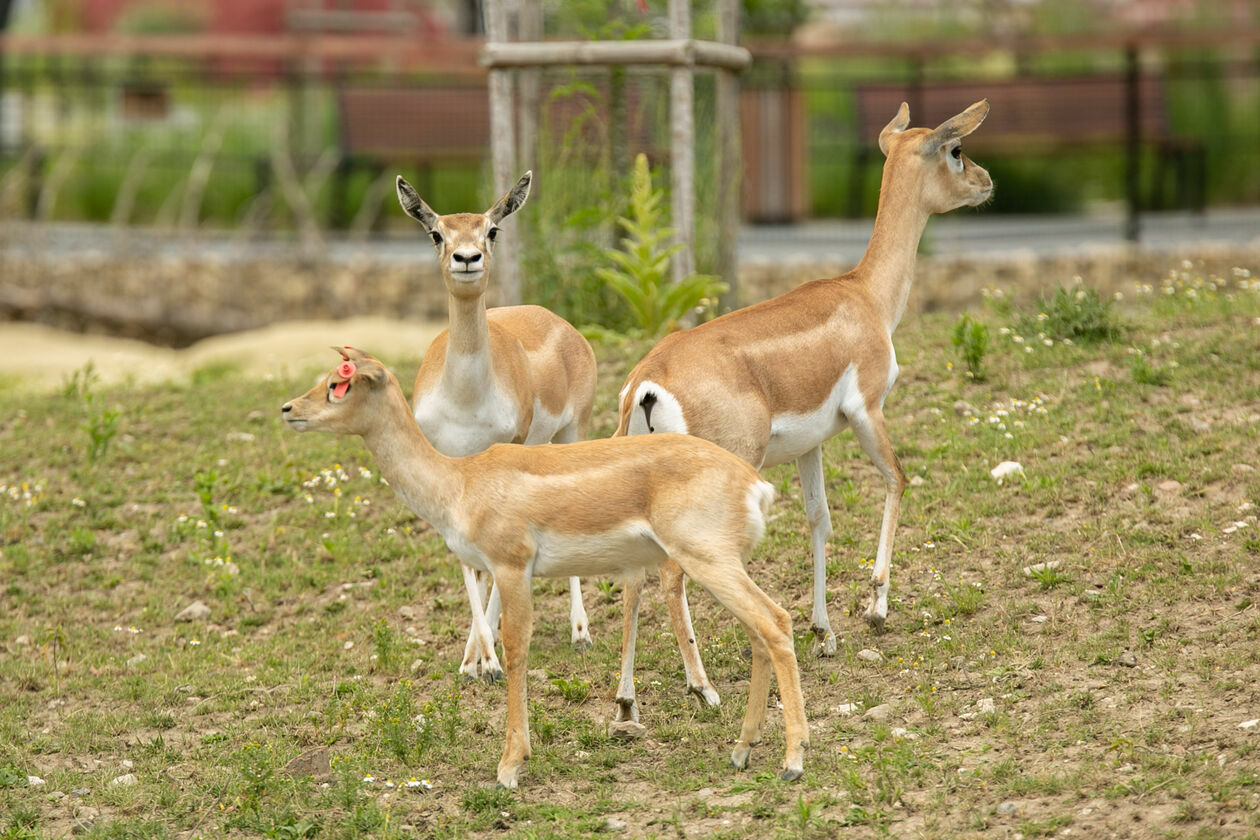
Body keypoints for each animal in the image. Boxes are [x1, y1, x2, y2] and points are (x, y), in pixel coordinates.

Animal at [283, 347, 806, 790]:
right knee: (760, 633)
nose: (288, 409)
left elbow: (515, 651)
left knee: (776, 621)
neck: (459, 485)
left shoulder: (512, 566)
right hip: (717, 564)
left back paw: (792, 760)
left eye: (338, 384)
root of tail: (754, 483)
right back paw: (741, 750)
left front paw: (509, 767)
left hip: (707, 559)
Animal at [395, 171, 597, 685]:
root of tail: (557, 321)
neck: (466, 398)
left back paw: (580, 632)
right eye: (436, 233)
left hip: (573, 434)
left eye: (492, 229)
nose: (468, 258)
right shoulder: (451, 472)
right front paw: (474, 660)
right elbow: (470, 566)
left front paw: (488, 661)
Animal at [612, 100, 992, 710]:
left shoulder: (808, 447)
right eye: (955, 150)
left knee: (635, 576)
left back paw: (628, 702)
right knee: (673, 575)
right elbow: (898, 479)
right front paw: (876, 607)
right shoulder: (868, 411)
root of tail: (648, 379)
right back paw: (704, 688)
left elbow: (819, 519)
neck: (864, 295)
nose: (986, 181)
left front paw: (825, 632)